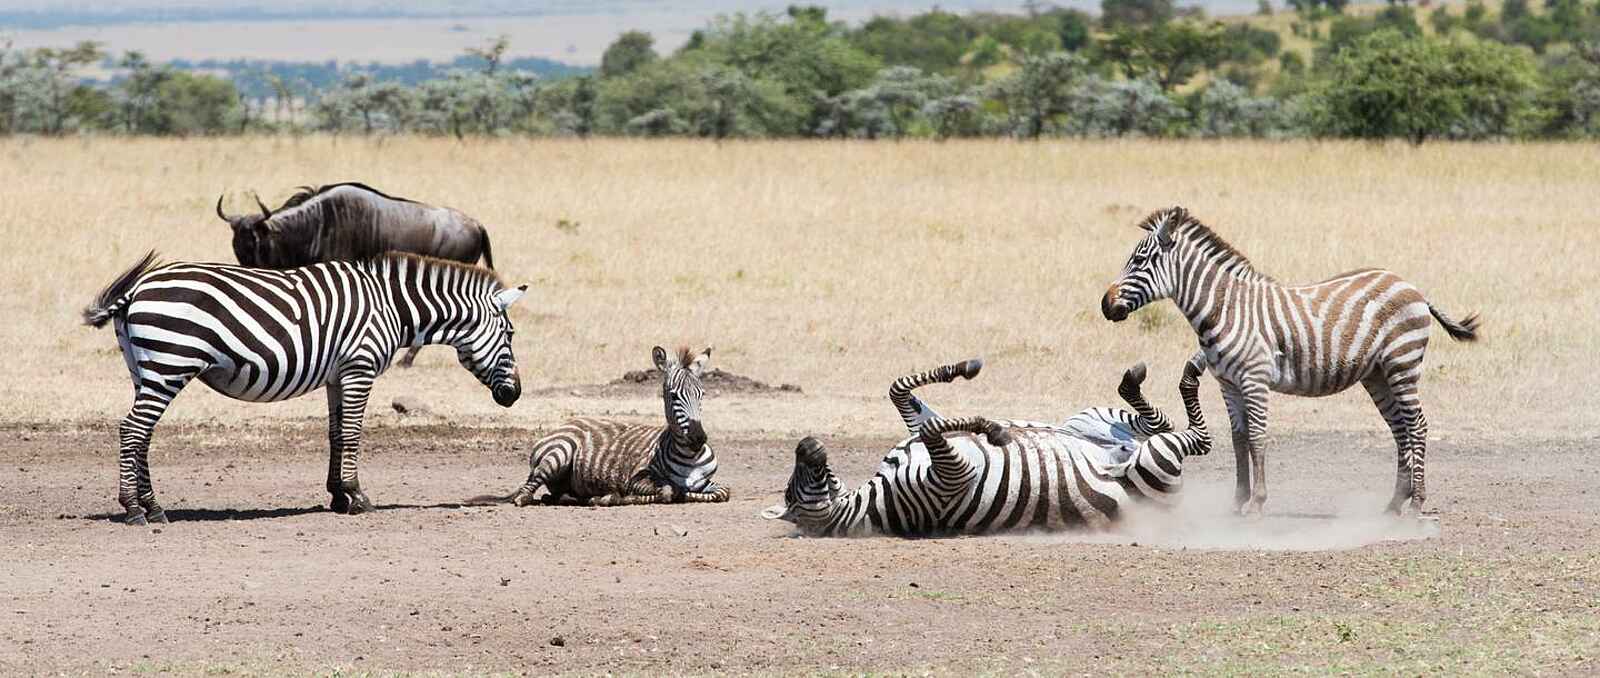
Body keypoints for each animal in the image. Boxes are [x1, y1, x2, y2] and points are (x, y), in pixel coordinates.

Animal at [82, 251, 528, 524]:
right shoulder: (360, 367)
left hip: (145, 369)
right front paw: (358, 497)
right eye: (510, 333)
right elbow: (353, 433)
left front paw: (338, 496)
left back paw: (152, 507)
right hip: (170, 364)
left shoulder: (337, 374)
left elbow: (336, 433)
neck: (392, 306)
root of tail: (136, 289)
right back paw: (136, 509)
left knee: (142, 434)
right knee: (133, 430)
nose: (514, 395)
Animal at [490, 346, 729, 507]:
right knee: (525, 492)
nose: (698, 438)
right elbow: (668, 491)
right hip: (560, 452)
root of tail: (566, 423)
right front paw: (616, 497)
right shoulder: (636, 479)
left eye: (702, 394)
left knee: (558, 494)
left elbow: (723, 492)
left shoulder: (707, 482)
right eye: (674, 396)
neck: (689, 456)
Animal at [761, 357, 1210, 537]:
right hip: (1154, 462)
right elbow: (934, 428)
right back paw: (1190, 371)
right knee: (1195, 439)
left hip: (1089, 419)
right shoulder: (953, 476)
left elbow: (900, 392)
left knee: (1156, 423)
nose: (806, 442)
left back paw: (1139, 380)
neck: (871, 504)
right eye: (791, 490)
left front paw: (965, 370)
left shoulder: (923, 439)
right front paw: (991, 428)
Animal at [1101, 206, 1480, 516]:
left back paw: (1416, 504)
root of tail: (1411, 286)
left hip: (1403, 363)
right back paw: (1394, 503)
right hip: (1377, 375)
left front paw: (1257, 503)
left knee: (1417, 425)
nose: (1105, 305)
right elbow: (1238, 440)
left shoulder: (1254, 380)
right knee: (1400, 429)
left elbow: (1257, 438)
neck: (1225, 308)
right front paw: (1237, 502)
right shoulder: (1227, 383)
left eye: (1139, 261)